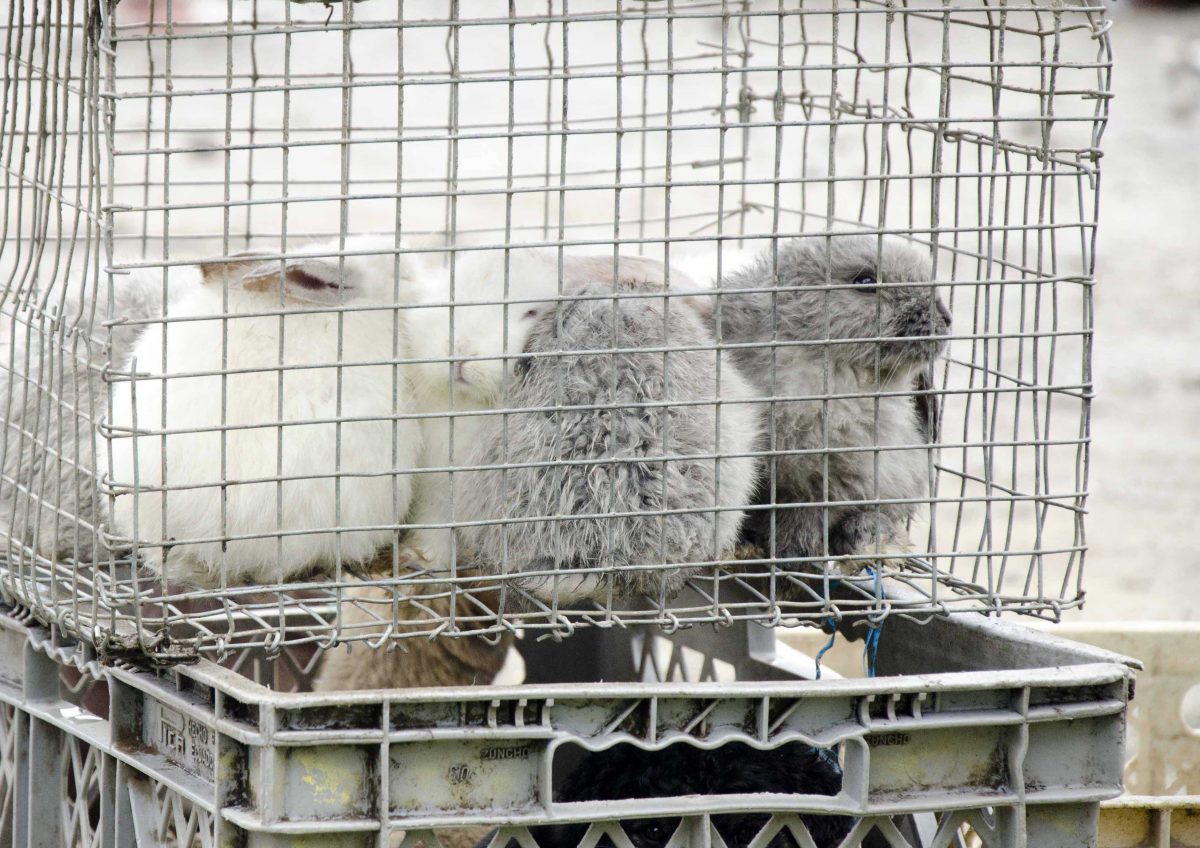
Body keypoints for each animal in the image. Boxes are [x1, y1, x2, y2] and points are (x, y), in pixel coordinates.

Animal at [710, 235, 955, 573]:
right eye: (865, 281)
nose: (945, 318)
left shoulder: (834, 480)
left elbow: (809, 518)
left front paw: (799, 553)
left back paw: (873, 541)